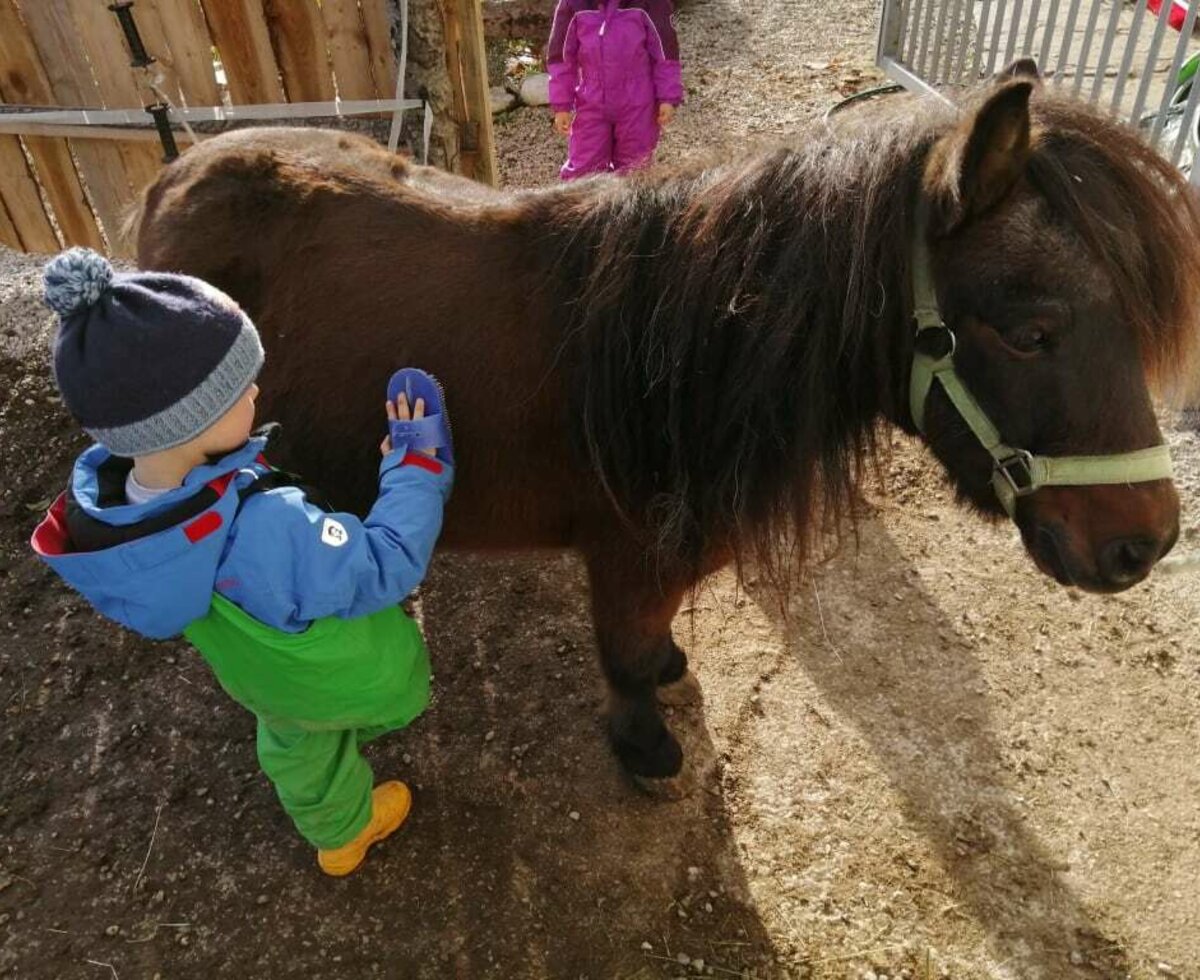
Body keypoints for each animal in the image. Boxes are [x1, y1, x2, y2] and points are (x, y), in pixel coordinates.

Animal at [136, 70, 1200, 782]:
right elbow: (624, 659)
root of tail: (175, 172)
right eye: (1032, 331)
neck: (689, 357)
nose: (1144, 545)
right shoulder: (628, 561)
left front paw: (668, 674)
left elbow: (648, 650)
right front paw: (645, 745)